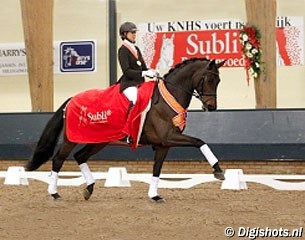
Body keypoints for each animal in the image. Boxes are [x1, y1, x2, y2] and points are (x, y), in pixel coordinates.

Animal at [25, 58, 226, 202]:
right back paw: (54, 193)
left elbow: (157, 169)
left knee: (80, 156)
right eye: (209, 79)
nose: (211, 107)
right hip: (72, 139)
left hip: (99, 141)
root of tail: (71, 99)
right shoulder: (169, 137)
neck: (168, 97)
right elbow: (199, 141)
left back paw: (89, 188)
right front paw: (218, 170)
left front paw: (155, 196)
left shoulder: (163, 144)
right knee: (58, 159)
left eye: (218, 81)